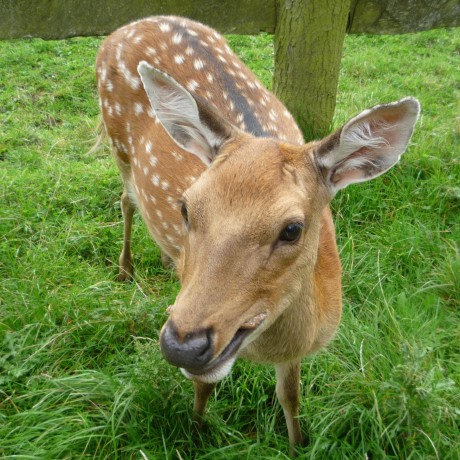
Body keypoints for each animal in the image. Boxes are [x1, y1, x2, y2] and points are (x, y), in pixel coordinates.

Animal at [96, 15, 420, 456]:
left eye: (292, 229)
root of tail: (130, 24)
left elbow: (291, 396)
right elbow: (203, 387)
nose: (181, 345)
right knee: (126, 200)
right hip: (118, 146)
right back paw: (125, 270)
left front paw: (298, 444)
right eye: (186, 207)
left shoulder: (297, 352)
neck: (271, 346)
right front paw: (195, 431)